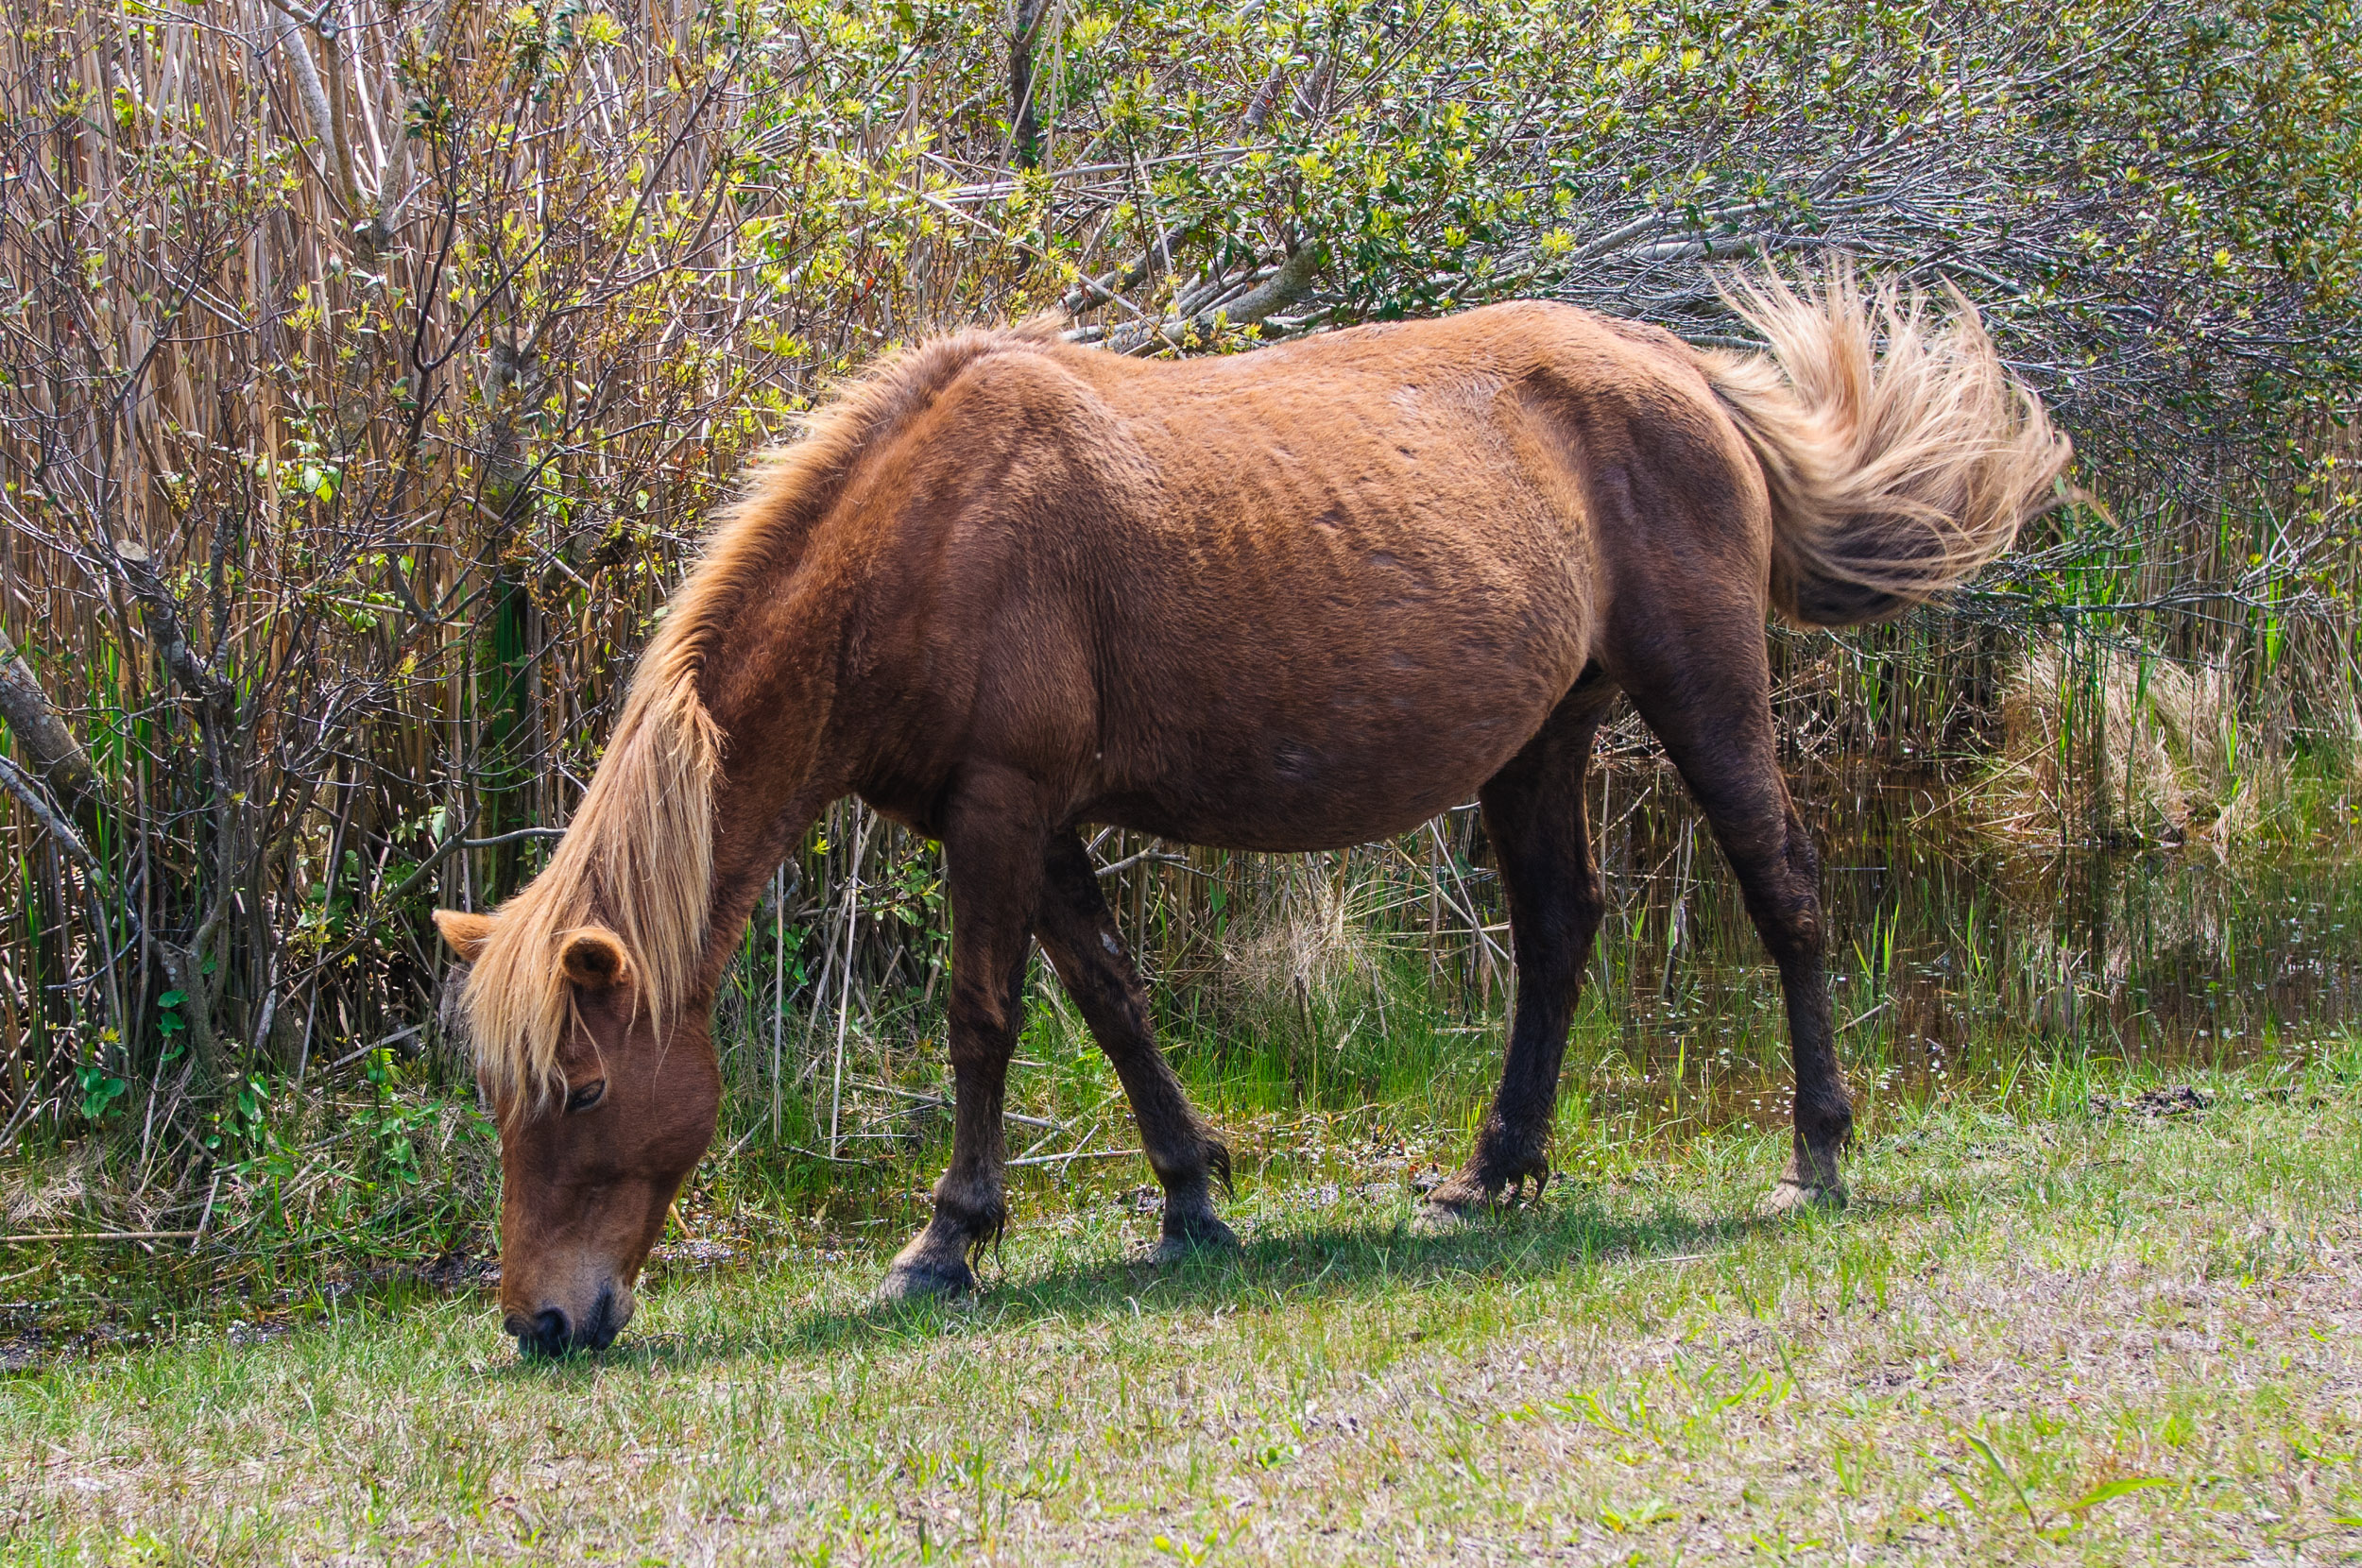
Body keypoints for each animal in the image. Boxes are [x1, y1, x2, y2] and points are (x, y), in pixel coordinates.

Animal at [433, 264, 2069, 1358]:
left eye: (581, 1094)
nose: (540, 1322)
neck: (931, 531)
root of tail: (1673, 369)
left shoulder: (1002, 809)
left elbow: (985, 1019)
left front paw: (949, 1241)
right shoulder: (1034, 822)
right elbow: (1111, 1000)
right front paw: (1193, 1201)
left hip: (1706, 697)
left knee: (1782, 893)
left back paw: (1816, 1154)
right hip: (1540, 740)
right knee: (1557, 933)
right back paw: (1492, 1173)